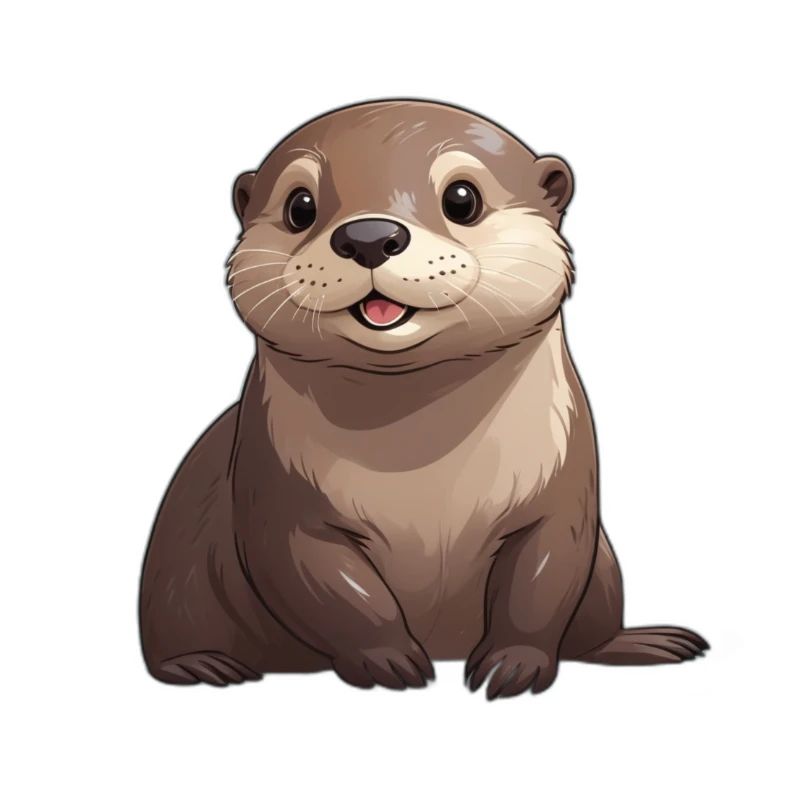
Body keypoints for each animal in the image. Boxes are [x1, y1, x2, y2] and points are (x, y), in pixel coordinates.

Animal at [139, 99, 708, 699]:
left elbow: (542, 579)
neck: (423, 476)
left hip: (604, 574)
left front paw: (514, 664)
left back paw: (646, 642)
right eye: (300, 207)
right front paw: (387, 660)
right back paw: (203, 666)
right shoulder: (276, 494)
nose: (369, 235)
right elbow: (330, 587)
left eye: (462, 198)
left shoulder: (562, 489)